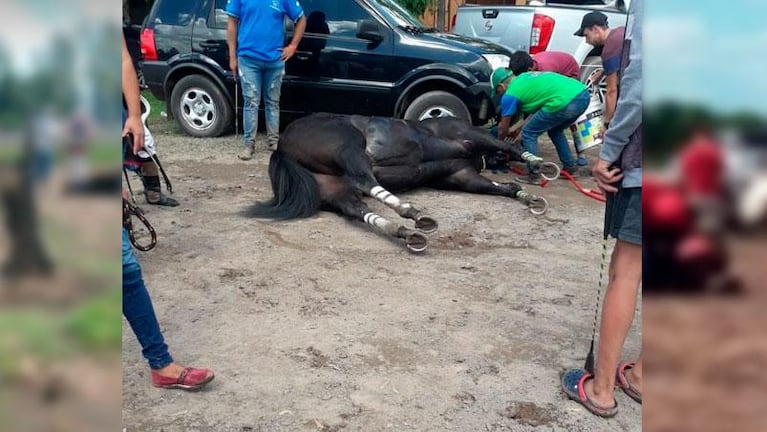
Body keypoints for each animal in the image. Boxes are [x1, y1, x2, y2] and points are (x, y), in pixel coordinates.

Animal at [252, 113, 560, 253]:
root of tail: (282, 146)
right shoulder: (470, 137)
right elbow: (506, 146)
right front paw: (539, 165)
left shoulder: (461, 175)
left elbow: (492, 187)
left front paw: (526, 196)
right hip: (348, 147)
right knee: (366, 181)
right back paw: (413, 214)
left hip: (332, 188)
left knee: (358, 208)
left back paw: (405, 231)